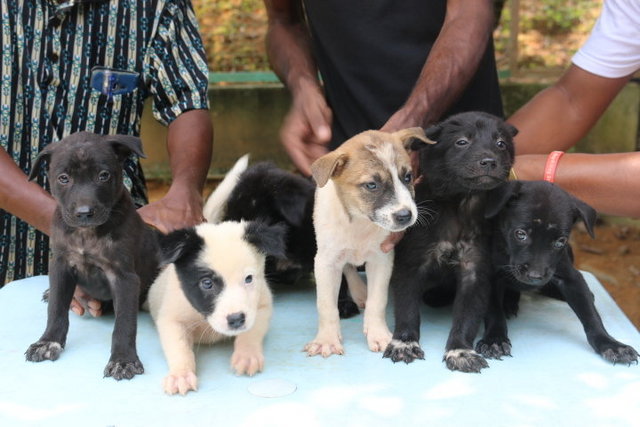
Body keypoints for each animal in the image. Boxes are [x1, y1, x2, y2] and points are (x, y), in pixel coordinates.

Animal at [24, 131, 160, 382]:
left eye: (103, 175)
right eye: (64, 178)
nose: (84, 213)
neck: (85, 234)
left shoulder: (125, 278)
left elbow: (124, 323)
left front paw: (123, 360)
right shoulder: (61, 266)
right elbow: (56, 308)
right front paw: (48, 342)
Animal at [146, 222, 286, 396]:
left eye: (249, 279)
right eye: (207, 283)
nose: (236, 319)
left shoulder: (261, 306)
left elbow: (252, 332)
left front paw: (247, 355)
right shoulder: (172, 319)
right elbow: (179, 347)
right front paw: (181, 374)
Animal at [306, 127, 436, 358]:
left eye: (408, 177)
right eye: (371, 185)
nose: (405, 215)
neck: (360, 222)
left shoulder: (381, 259)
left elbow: (378, 301)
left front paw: (379, 335)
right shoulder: (326, 262)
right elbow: (326, 305)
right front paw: (327, 340)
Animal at [382, 112, 516, 372]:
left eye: (501, 144)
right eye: (462, 142)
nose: (489, 161)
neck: (461, 205)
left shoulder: (475, 270)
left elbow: (467, 315)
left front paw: (460, 350)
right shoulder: (411, 263)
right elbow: (407, 308)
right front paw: (404, 343)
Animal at [478, 179, 636, 366]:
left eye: (560, 241)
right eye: (520, 234)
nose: (535, 276)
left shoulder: (571, 278)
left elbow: (591, 315)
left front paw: (610, 344)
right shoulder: (491, 276)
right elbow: (494, 312)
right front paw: (494, 339)